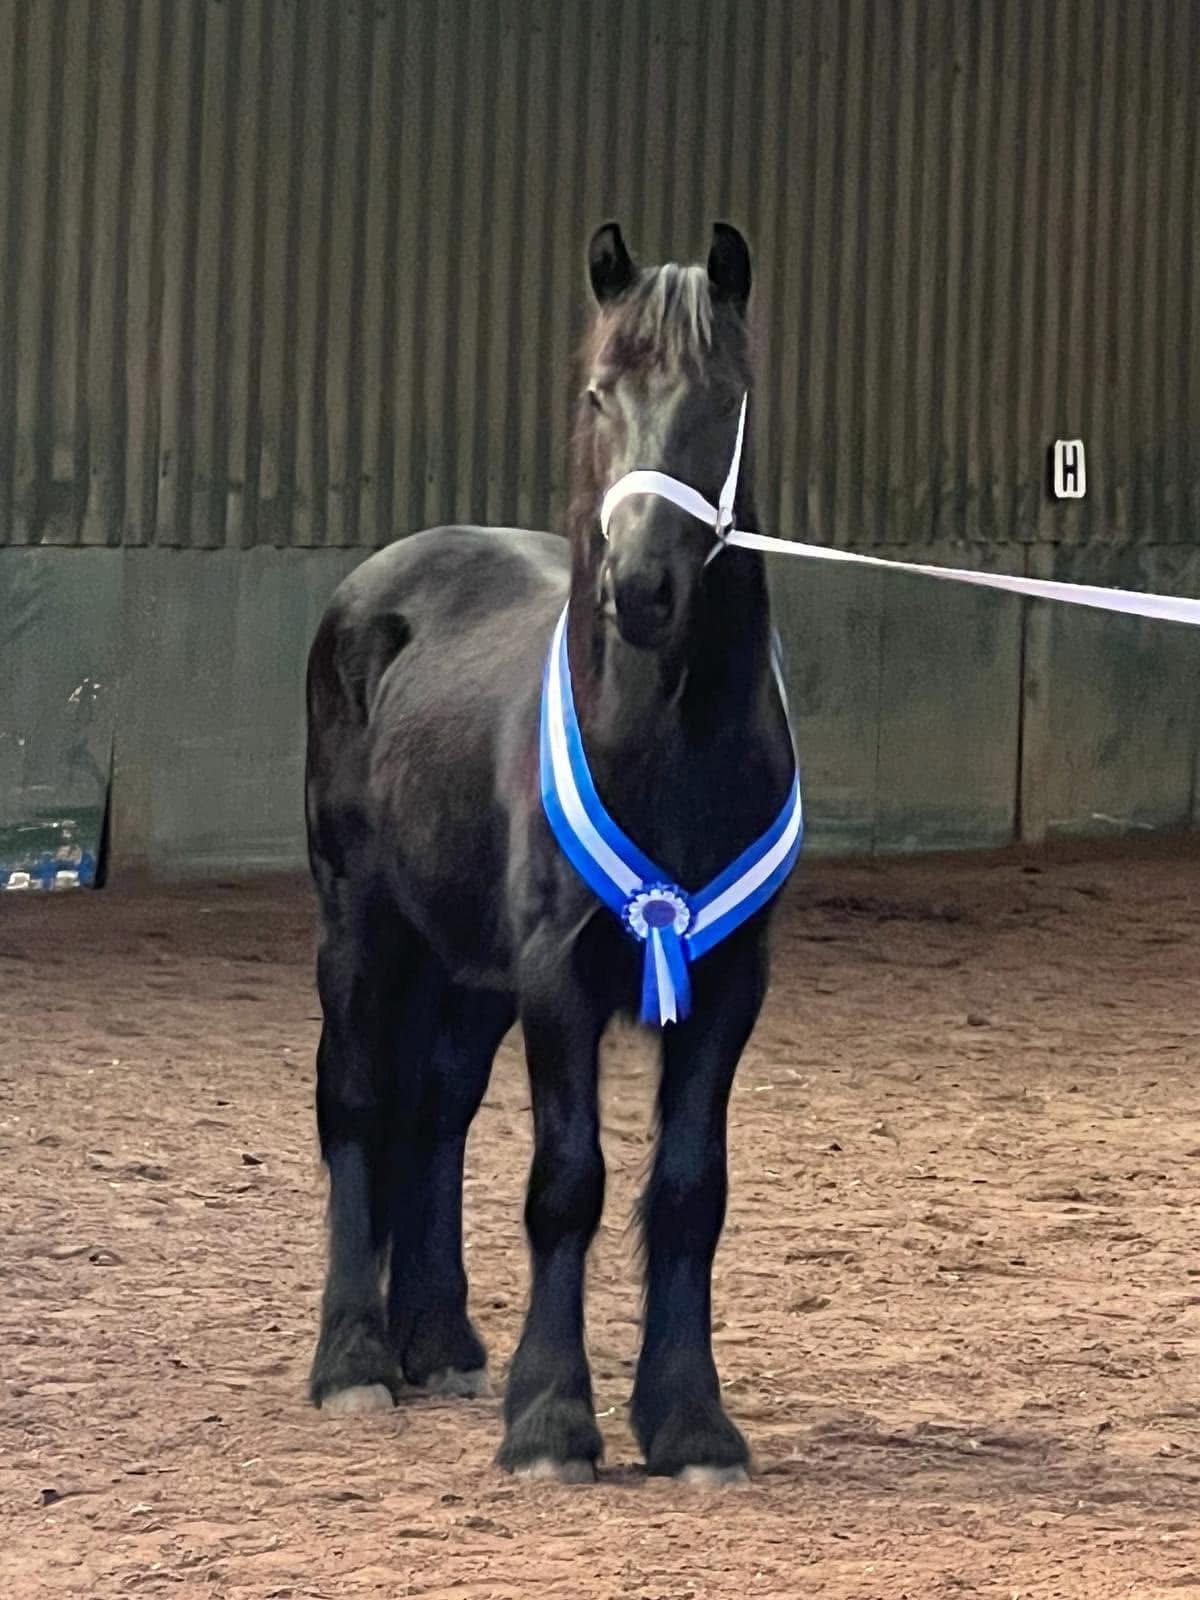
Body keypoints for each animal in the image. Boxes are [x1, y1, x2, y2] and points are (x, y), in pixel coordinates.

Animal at [304, 221, 798, 1485]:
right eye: (596, 392)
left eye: (727, 397)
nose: (642, 587)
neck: (664, 744)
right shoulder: (560, 979)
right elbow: (567, 1183)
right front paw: (551, 1425)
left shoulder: (728, 983)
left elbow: (689, 1187)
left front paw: (691, 1425)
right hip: (362, 927)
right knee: (359, 1101)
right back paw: (354, 1362)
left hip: (469, 967)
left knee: (436, 1110)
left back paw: (440, 1343)